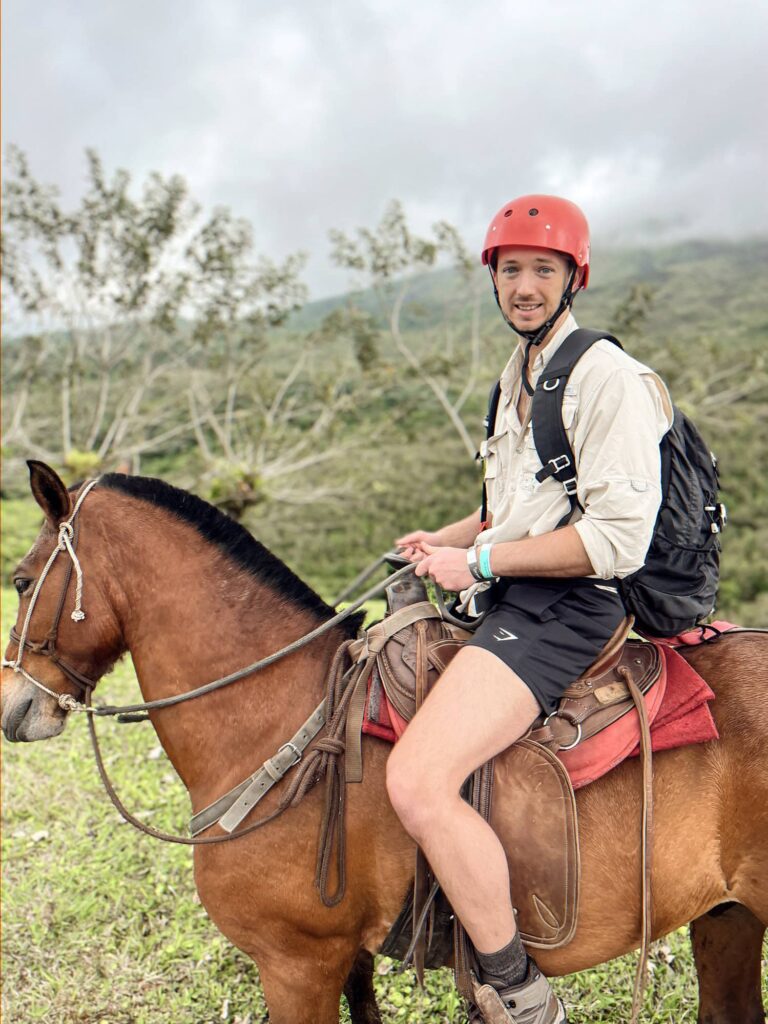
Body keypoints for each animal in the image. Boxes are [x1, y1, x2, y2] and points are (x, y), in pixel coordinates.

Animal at [1, 466, 768, 1024]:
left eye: (19, 579)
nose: (14, 708)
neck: (284, 721)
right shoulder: (347, 960)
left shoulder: (295, 965)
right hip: (725, 916)